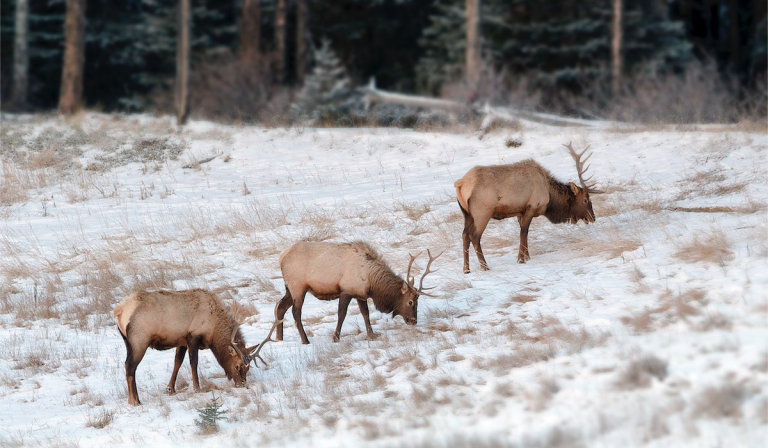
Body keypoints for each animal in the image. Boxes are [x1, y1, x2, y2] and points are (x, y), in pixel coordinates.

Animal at [112, 288, 280, 408]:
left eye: (248, 368)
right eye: (237, 366)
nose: (242, 384)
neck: (213, 330)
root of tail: (119, 311)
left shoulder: (181, 340)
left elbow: (177, 363)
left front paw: (170, 389)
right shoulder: (193, 335)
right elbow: (194, 362)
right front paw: (197, 388)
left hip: (127, 341)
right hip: (139, 340)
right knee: (130, 366)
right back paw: (135, 400)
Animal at [272, 242, 440, 344]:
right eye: (410, 302)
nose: (413, 321)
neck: (371, 280)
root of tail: (281, 258)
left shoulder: (360, 294)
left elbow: (365, 314)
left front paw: (371, 335)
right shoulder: (346, 290)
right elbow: (342, 314)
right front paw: (335, 337)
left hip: (289, 288)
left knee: (280, 306)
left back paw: (279, 338)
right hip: (298, 286)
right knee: (295, 312)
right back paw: (305, 340)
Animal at [452, 142, 604, 272]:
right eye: (585, 200)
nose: (593, 217)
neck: (549, 196)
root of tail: (460, 184)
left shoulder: (520, 211)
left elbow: (524, 234)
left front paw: (527, 256)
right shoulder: (531, 206)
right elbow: (523, 233)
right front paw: (521, 259)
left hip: (467, 213)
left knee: (464, 235)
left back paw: (466, 269)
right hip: (483, 212)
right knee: (474, 236)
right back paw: (484, 266)